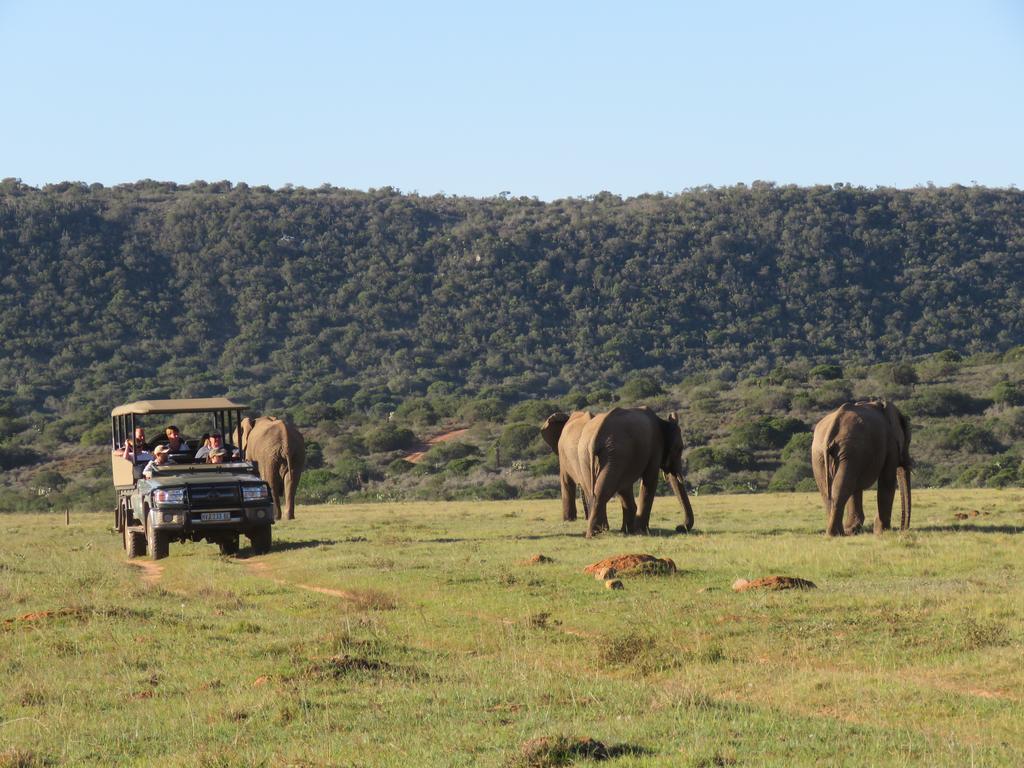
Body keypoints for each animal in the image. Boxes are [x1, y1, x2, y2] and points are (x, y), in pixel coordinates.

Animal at [577, 409, 696, 540]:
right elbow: (650, 480)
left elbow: (625, 486)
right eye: (679, 449)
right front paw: (642, 531)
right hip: (615, 453)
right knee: (603, 490)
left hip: (586, 455)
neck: (663, 422)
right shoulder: (655, 448)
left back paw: (597, 532)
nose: (679, 527)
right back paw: (594, 534)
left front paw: (630, 531)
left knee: (593, 491)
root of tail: (595, 438)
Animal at [815, 399, 913, 536]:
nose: (902, 529)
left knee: (829, 489)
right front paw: (883, 531)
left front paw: (855, 529)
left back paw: (839, 532)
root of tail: (833, 426)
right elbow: (887, 480)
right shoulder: (891, 444)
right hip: (850, 448)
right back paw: (836, 533)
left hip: (820, 452)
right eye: (908, 441)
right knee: (843, 485)